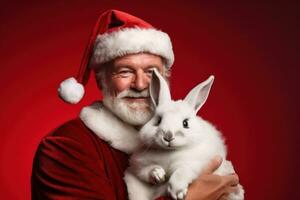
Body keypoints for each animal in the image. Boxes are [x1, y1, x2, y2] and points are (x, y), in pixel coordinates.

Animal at [123, 69, 244, 200]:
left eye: (185, 123)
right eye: (158, 120)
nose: (168, 136)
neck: (169, 152)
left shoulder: (195, 163)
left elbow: (182, 171)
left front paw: (177, 191)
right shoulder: (137, 166)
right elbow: (146, 171)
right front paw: (158, 174)